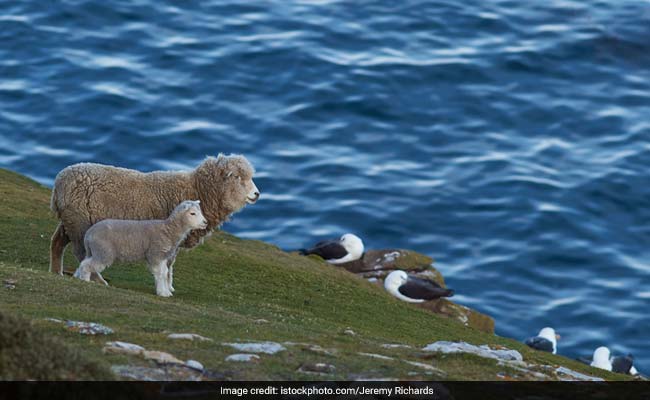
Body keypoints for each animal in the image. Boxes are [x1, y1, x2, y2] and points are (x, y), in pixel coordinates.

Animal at [50, 153, 258, 276]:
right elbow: (168, 266)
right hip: (80, 223)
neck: (197, 189)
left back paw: (56, 272)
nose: (257, 194)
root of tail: (59, 182)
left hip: (71, 221)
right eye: (237, 177)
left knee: (57, 243)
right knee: (81, 254)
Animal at [72, 200, 206, 296]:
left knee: (84, 262)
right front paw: (163, 293)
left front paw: (164, 291)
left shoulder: (162, 256)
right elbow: (160, 273)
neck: (168, 230)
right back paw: (85, 280)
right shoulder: (156, 254)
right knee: (87, 265)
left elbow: (164, 272)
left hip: (94, 251)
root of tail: (89, 234)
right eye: (192, 213)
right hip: (104, 252)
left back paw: (79, 276)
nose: (205, 222)